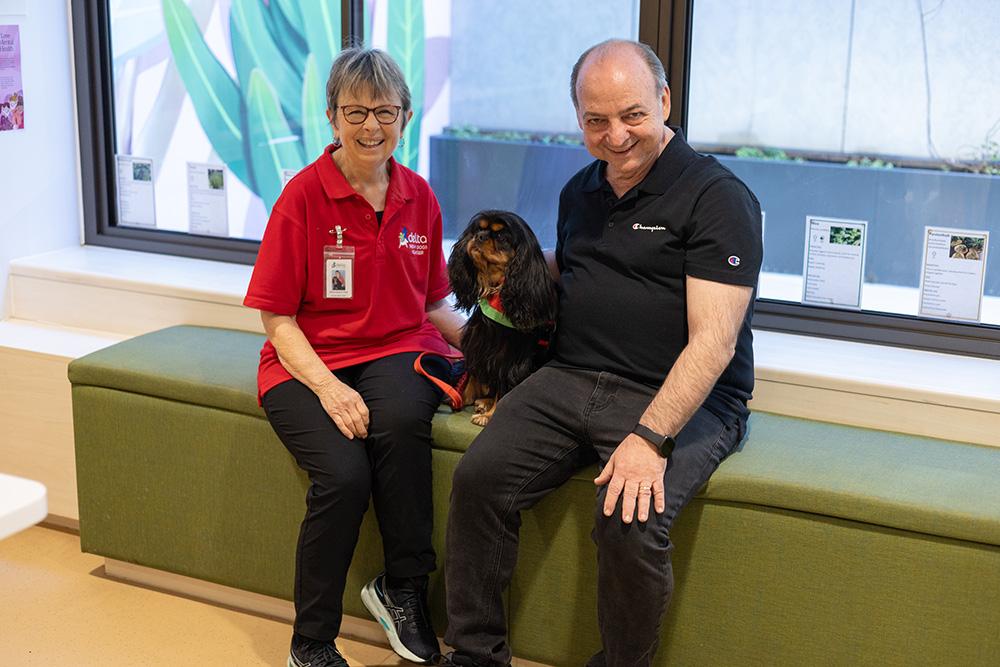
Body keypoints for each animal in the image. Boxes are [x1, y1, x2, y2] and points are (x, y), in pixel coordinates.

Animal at [450, 209, 560, 428]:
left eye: (501, 236)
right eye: (478, 229)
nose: (479, 236)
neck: (496, 290)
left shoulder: (510, 361)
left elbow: (503, 388)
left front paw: (490, 415)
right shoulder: (478, 344)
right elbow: (472, 373)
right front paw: (463, 397)